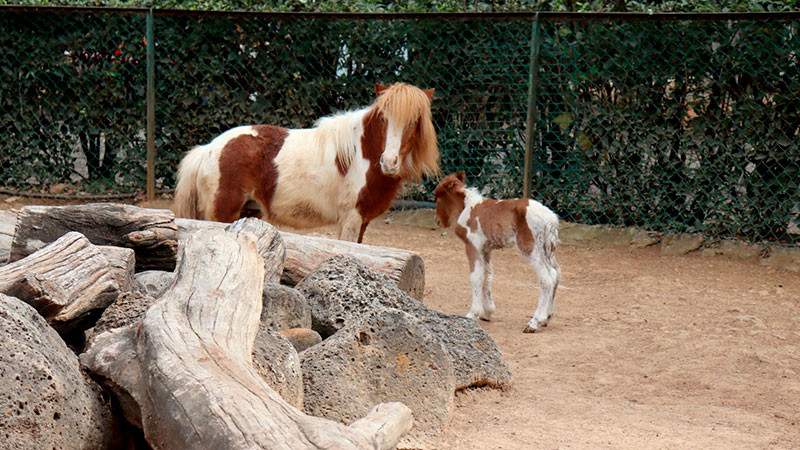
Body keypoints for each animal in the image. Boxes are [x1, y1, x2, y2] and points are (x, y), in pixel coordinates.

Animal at [171, 81, 440, 243]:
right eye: (384, 119)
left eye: (414, 121)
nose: (389, 163)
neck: (362, 151)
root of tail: (208, 149)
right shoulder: (351, 219)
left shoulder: (361, 221)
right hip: (222, 214)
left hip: (248, 213)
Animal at [434, 171, 560, 332]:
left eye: (437, 197)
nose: (438, 221)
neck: (468, 206)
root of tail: (549, 218)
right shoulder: (486, 250)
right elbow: (487, 277)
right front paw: (487, 313)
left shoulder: (472, 245)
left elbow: (476, 277)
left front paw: (472, 314)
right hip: (547, 250)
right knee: (555, 274)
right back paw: (547, 317)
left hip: (530, 247)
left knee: (546, 279)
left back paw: (534, 322)